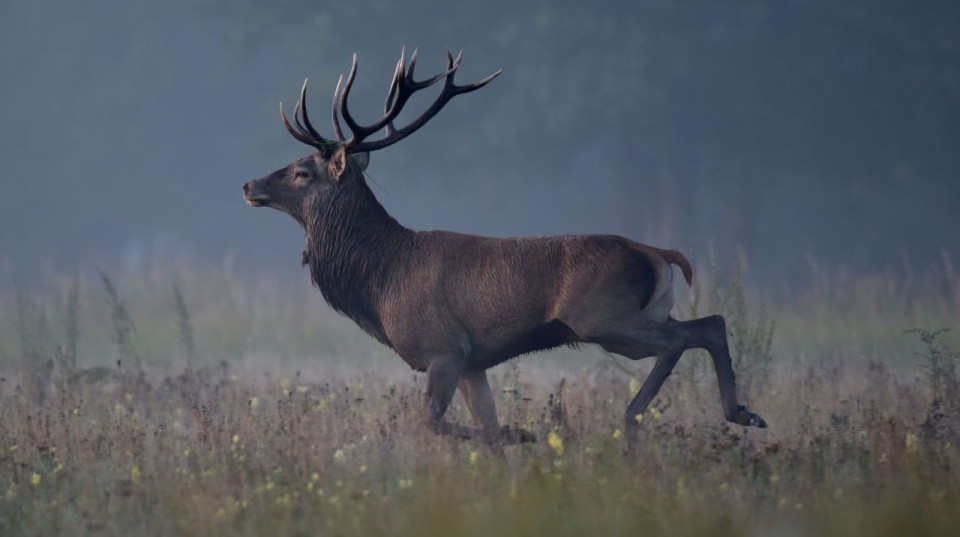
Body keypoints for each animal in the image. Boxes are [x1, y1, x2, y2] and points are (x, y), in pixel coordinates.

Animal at [242, 49, 764, 452]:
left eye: (302, 172)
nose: (249, 185)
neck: (382, 281)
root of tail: (656, 251)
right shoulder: (474, 362)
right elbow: (485, 431)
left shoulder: (444, 347)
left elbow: (433, 422)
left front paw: (525, 434)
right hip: (640, 314)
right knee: (710, 323)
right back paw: (743, 413)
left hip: (602, 318)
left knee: (681, 338)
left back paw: (634, 420)